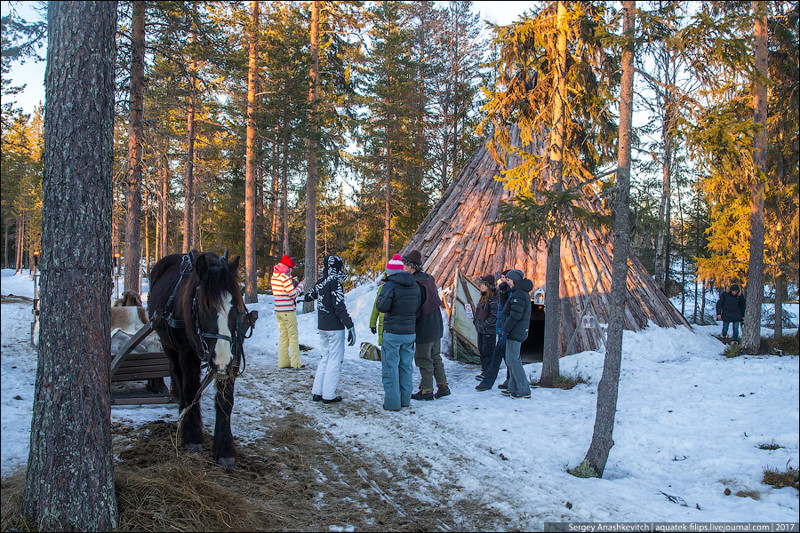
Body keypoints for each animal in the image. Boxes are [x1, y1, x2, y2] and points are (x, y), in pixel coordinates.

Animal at [146, 250, 253, 466]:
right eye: (204, 306)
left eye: (235, 307)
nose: (221, 356)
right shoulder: (187, 353)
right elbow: (190, 387)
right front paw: (192, 436)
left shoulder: (234, 353)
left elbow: (225, 400)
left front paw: (224, 449)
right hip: (169, 345)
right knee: (178, 376)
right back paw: (183, 413)